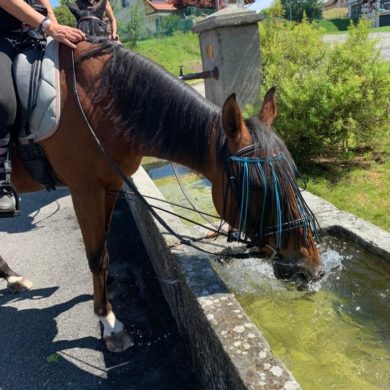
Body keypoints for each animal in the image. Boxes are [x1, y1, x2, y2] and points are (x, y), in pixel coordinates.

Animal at [0, 40, 322, 354]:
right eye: (255, 186)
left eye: (293, 174)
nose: (310, 268)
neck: (97, 104)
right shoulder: (85, 190)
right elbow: (96, 255)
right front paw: (109, 321)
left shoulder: (110, 184)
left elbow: (104, 246)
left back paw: (12, 276)